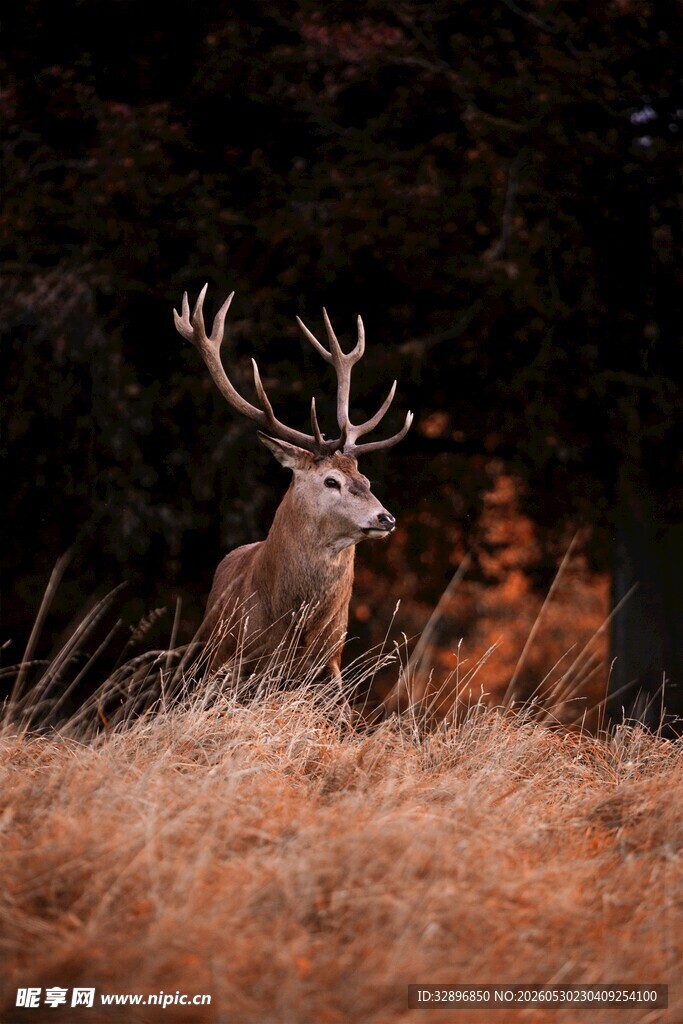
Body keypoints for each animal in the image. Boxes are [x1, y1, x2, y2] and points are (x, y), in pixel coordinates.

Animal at [173, 285, 412, 709]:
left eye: (365, 478)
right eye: (331, 481)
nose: (386, 518)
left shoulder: (330, 664)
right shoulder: (234, 662)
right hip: (207, 654)